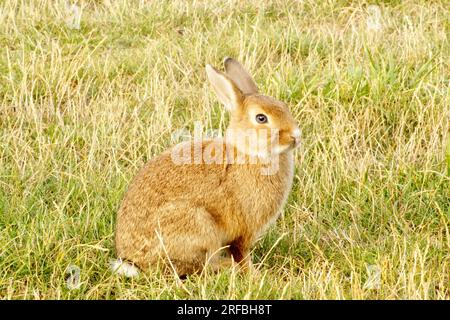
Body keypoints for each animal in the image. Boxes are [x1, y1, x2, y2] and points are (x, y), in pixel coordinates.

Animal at [112, 58, 302, 278]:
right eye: (261, 118)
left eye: (284, 107)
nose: (296, 136)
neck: (250, 152)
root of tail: (133, 262)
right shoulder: (244, 230)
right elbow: (241, 253)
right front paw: (254, 273)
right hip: (198, 226)